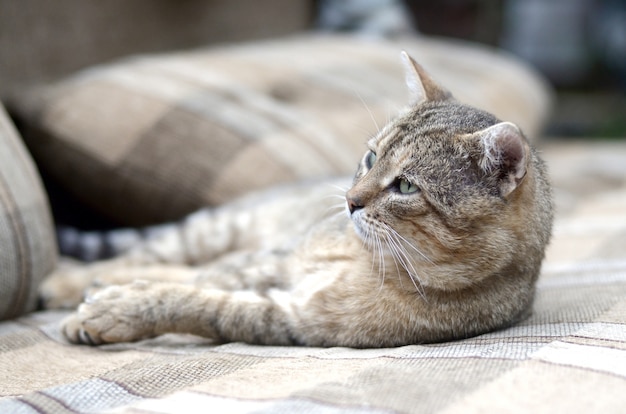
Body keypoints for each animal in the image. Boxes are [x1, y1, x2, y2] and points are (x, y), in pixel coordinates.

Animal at [40, 52, 552, 350]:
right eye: (371, 157)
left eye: (405, 187)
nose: (350, 201)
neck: (370, 261)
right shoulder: (273, 262)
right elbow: (200, 279)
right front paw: (107, 300)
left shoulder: (291, 319)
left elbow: (199, 302)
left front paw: (114, 309)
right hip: (216, 230)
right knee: (162, 256)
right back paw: (68, 283)